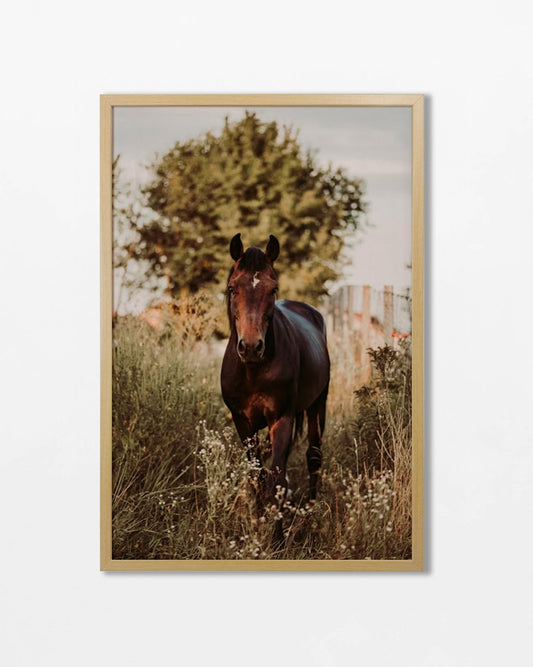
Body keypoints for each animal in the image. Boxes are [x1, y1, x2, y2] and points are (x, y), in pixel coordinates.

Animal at [220, 233, 330, 536]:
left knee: (314, 457)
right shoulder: (242, 422)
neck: (253, 370)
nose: (250, 347)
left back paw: (312, 511)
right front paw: (258, 525)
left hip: (318, 405)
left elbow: (278, 481)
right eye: (232, 288)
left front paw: (277, 539)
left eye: (273, 289)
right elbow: (257, 476)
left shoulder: (282, 418)